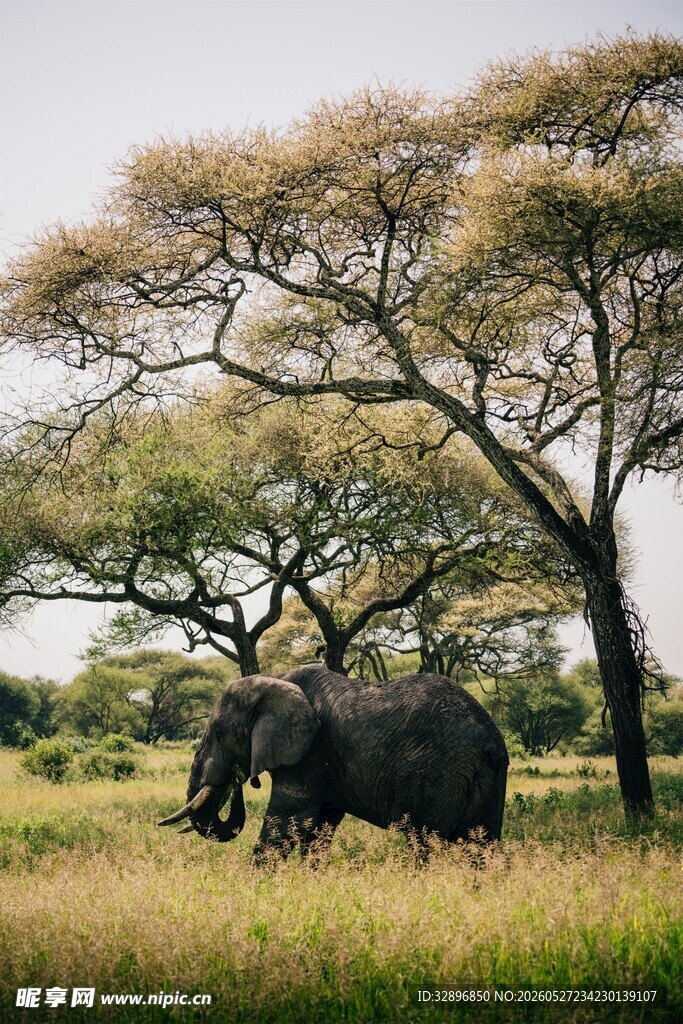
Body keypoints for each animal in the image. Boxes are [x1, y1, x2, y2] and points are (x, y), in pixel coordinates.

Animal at [159, 665, 509, 857]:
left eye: (218, 733)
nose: (238, 779)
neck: (275, 680)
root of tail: (489, 742)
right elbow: (319, 827)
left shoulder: (309, 752)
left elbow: (286, 822)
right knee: (481, 845)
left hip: (435, 773)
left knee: (424, 841)